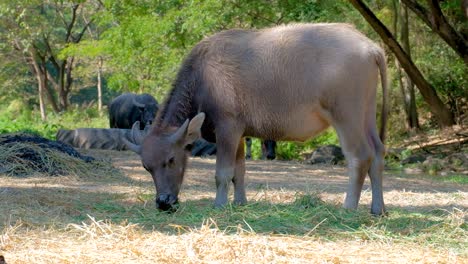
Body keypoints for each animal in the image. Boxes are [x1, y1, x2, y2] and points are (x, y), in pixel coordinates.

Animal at [123, 23, 388, 214]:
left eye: (170, 159)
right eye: (146, 167)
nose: (163, 202)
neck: (204, 77)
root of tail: (371, 48)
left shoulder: (227, 129)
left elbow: (223, 172)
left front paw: (219, 205)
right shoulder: (240, 135)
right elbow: (238, 172)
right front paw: (240, 202)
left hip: (347, 117)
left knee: (360, 156)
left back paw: (349, 207)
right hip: (366, 115)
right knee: (377, 153)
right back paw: (378, 209)